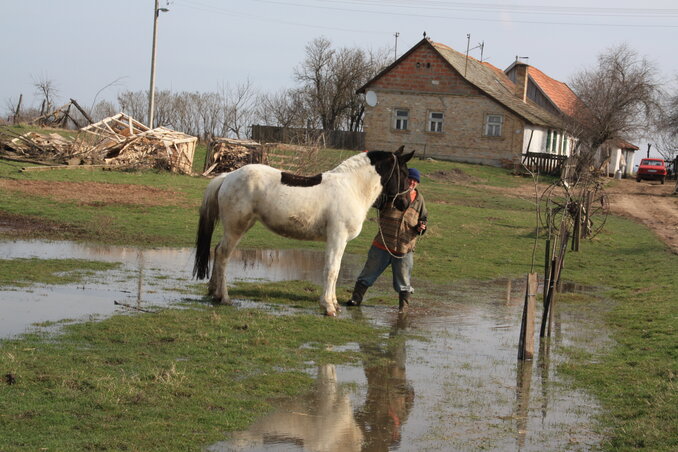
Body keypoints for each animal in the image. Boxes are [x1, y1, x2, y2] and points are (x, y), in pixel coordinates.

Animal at [193, 147, 414, 316]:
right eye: (403, 173)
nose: (405, 203)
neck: (351, 187)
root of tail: (227, 176)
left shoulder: (340, 241)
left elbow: (335, 271)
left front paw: (334, 304)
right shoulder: (337, 237)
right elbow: (331, 270)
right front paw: (328, 307)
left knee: (217, 250)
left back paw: (213, 292)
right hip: (236, 228)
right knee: (223, 255)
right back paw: (224, 297)